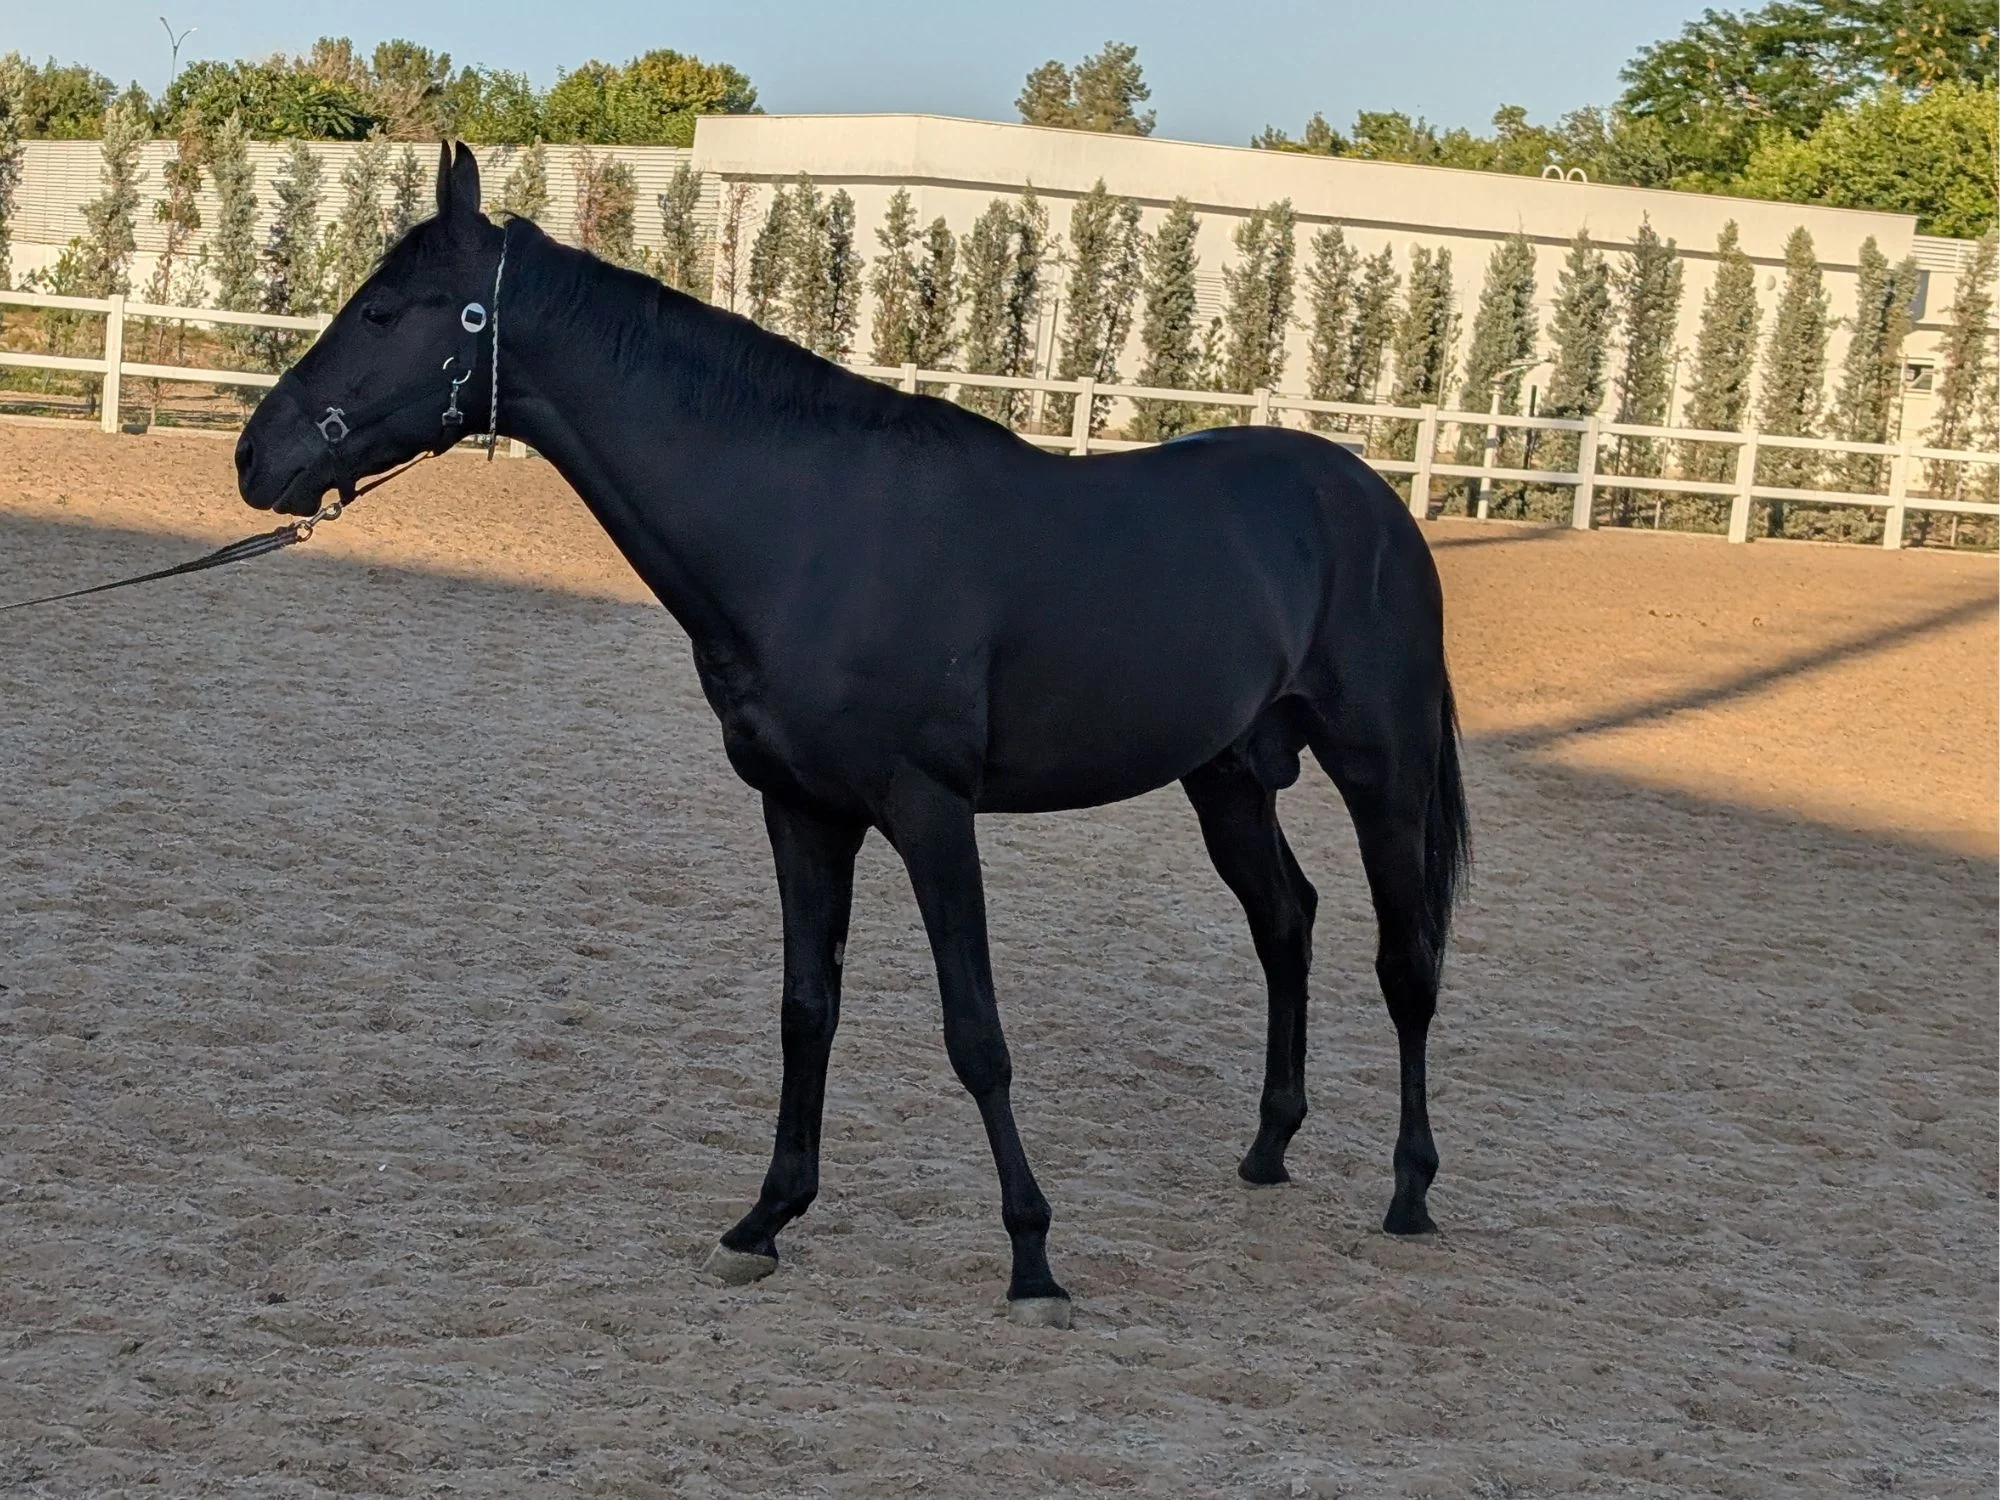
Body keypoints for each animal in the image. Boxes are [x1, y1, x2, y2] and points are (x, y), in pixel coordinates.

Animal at [235, 144, 1470, 1329]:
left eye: (385, 311)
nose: (256, 456)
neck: (809, 531)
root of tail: (1372, 502)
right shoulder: (802, 811)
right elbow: (805, 1012)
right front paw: (765, 1221)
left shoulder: (929, 815)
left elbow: (974, 1032)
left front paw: (1032, 1258)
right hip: (1227, 778)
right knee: (1285, 923)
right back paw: (1268, 1147)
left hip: (1382, 771)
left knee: (1405, 963)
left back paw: (1410, 1191)